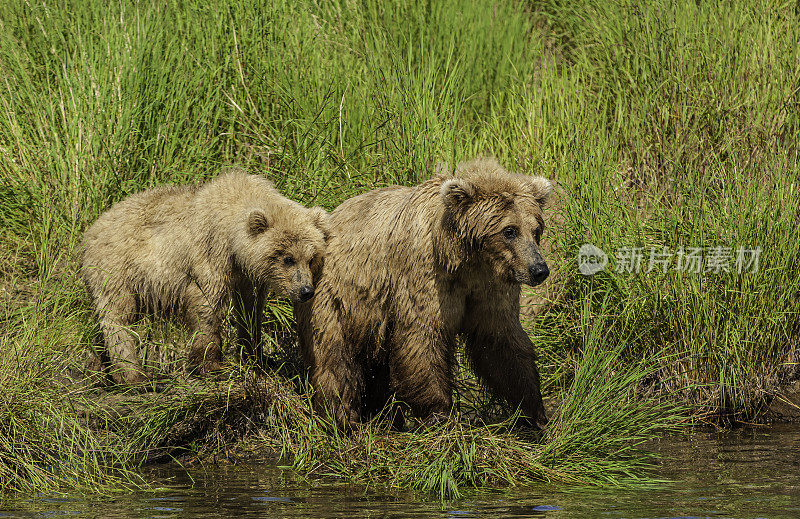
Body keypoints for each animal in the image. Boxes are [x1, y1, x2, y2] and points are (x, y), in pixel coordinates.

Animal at [296, 159, 552, 430]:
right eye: (509, 230)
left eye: (536, 229)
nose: (539, 270)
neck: (466, 261)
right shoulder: (425, 275)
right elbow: (422, 338)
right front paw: (439, 413)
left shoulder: (489, 288)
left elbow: (500, 341)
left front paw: (534, 410)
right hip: (334, 298)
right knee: (334, 357)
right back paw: (342, 418)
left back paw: (385, 416)